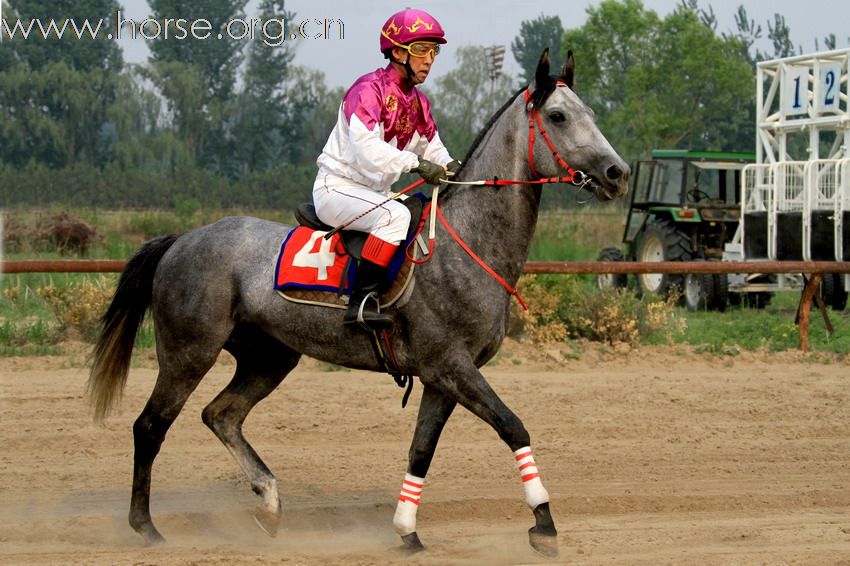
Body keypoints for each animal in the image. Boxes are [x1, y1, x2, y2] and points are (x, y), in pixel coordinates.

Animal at [88, 50, 628, 560]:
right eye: (558, 116)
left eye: (591, 112)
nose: (617, 173)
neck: (464, 245)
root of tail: (182, 239)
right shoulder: (452, 365)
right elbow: (513, 426)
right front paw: (544, 525)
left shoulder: (441, 377)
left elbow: (420, 451)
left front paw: (407, 532)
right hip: (189, 351)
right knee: (150, 426)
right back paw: (146, 527)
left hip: (269, 357)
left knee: (221, 415)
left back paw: (270, 503)